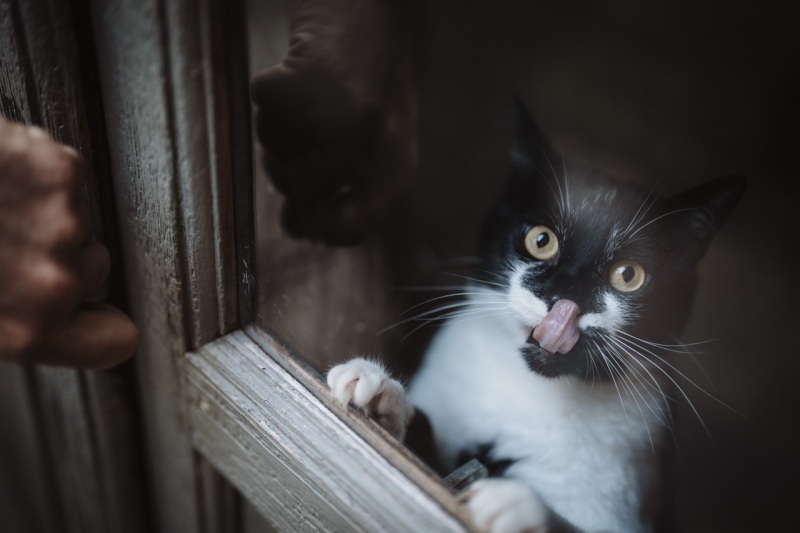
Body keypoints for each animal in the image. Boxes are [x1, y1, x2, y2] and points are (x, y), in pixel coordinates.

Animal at [324, 100, 744, 532]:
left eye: (629, 275)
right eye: (541, 240)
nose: (565, 300)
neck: (528, 389)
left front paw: (517, 504)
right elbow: (429, 455)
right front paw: (378, 391)